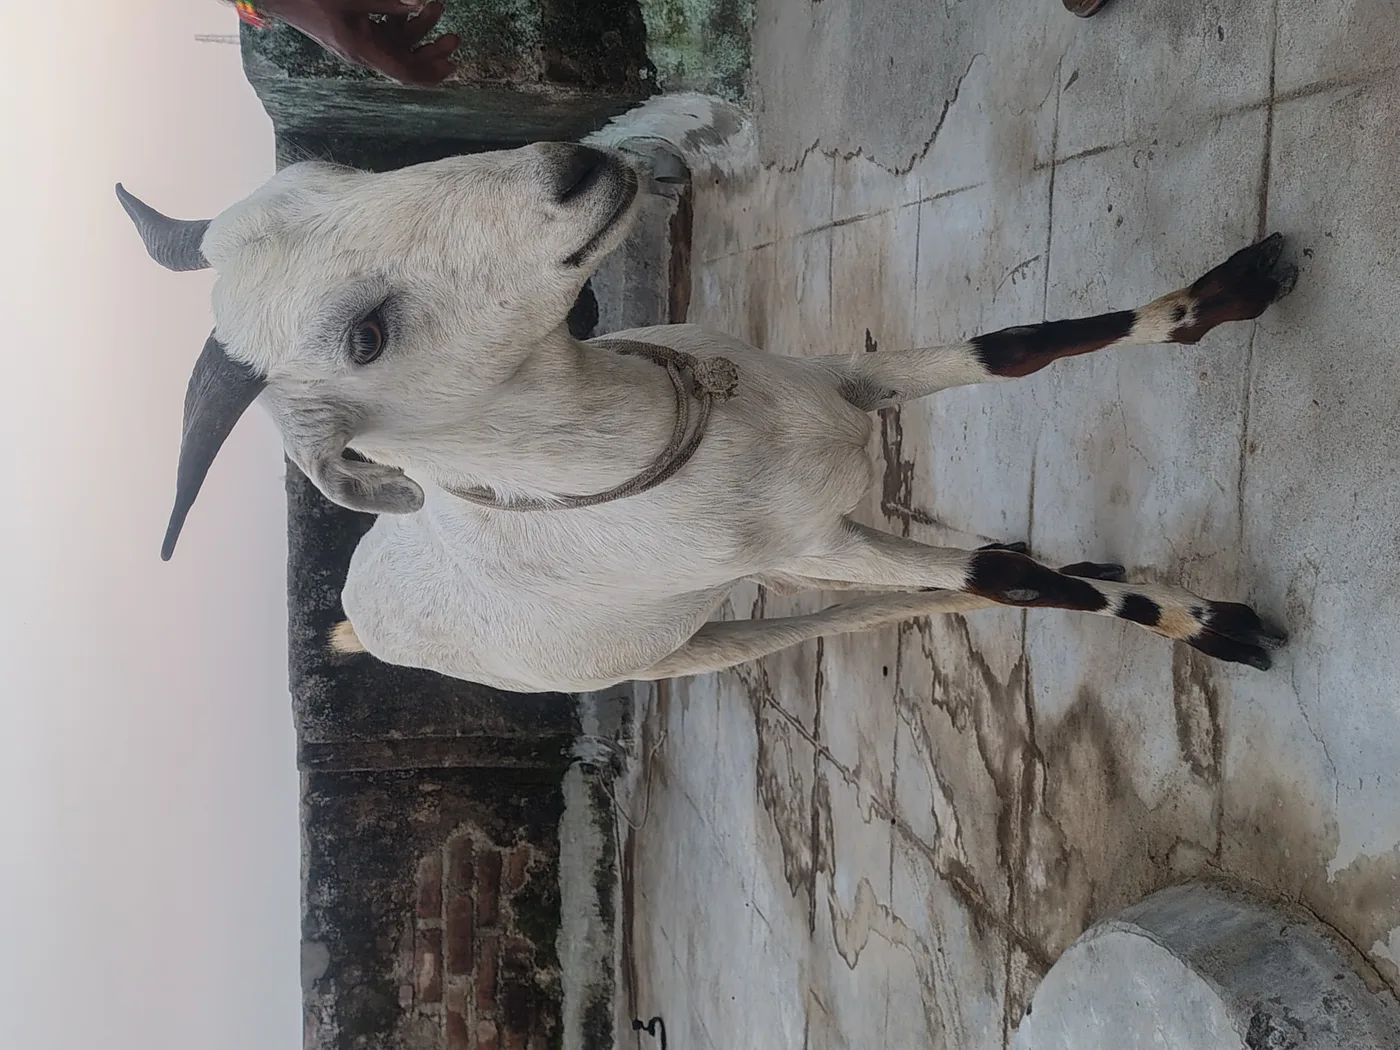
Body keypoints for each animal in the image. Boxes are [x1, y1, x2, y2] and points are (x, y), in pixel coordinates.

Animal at [118, 107, 1296, 694]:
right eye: (364, 335)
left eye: (338, 171)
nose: (573, 168)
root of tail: (356, 621)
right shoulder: (813, 537)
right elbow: (1012, 582)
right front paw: (1216, 627)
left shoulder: (841, 386)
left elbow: (1014, 348)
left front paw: (1225, 293)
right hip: (688, 644)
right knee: (883, 607)